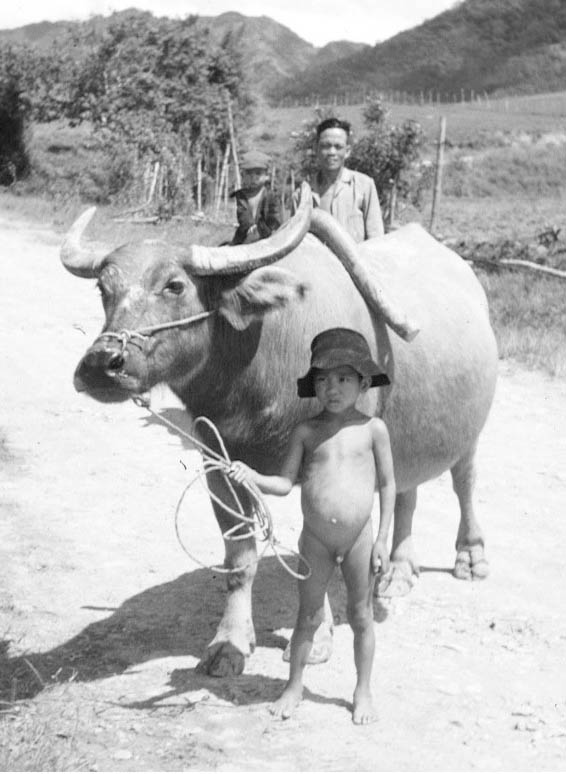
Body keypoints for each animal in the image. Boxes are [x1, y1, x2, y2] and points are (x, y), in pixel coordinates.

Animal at [61, 184, 498, 677]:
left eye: (174, 285)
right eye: (103, 288)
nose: (101, 365)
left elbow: (318, 551)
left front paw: (318, 639)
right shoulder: (218, 463)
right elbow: (240, 557)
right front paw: (229, 643)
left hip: (470, 433)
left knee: (464, 482)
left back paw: (470, 557)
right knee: (407, 491)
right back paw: (399, 571)